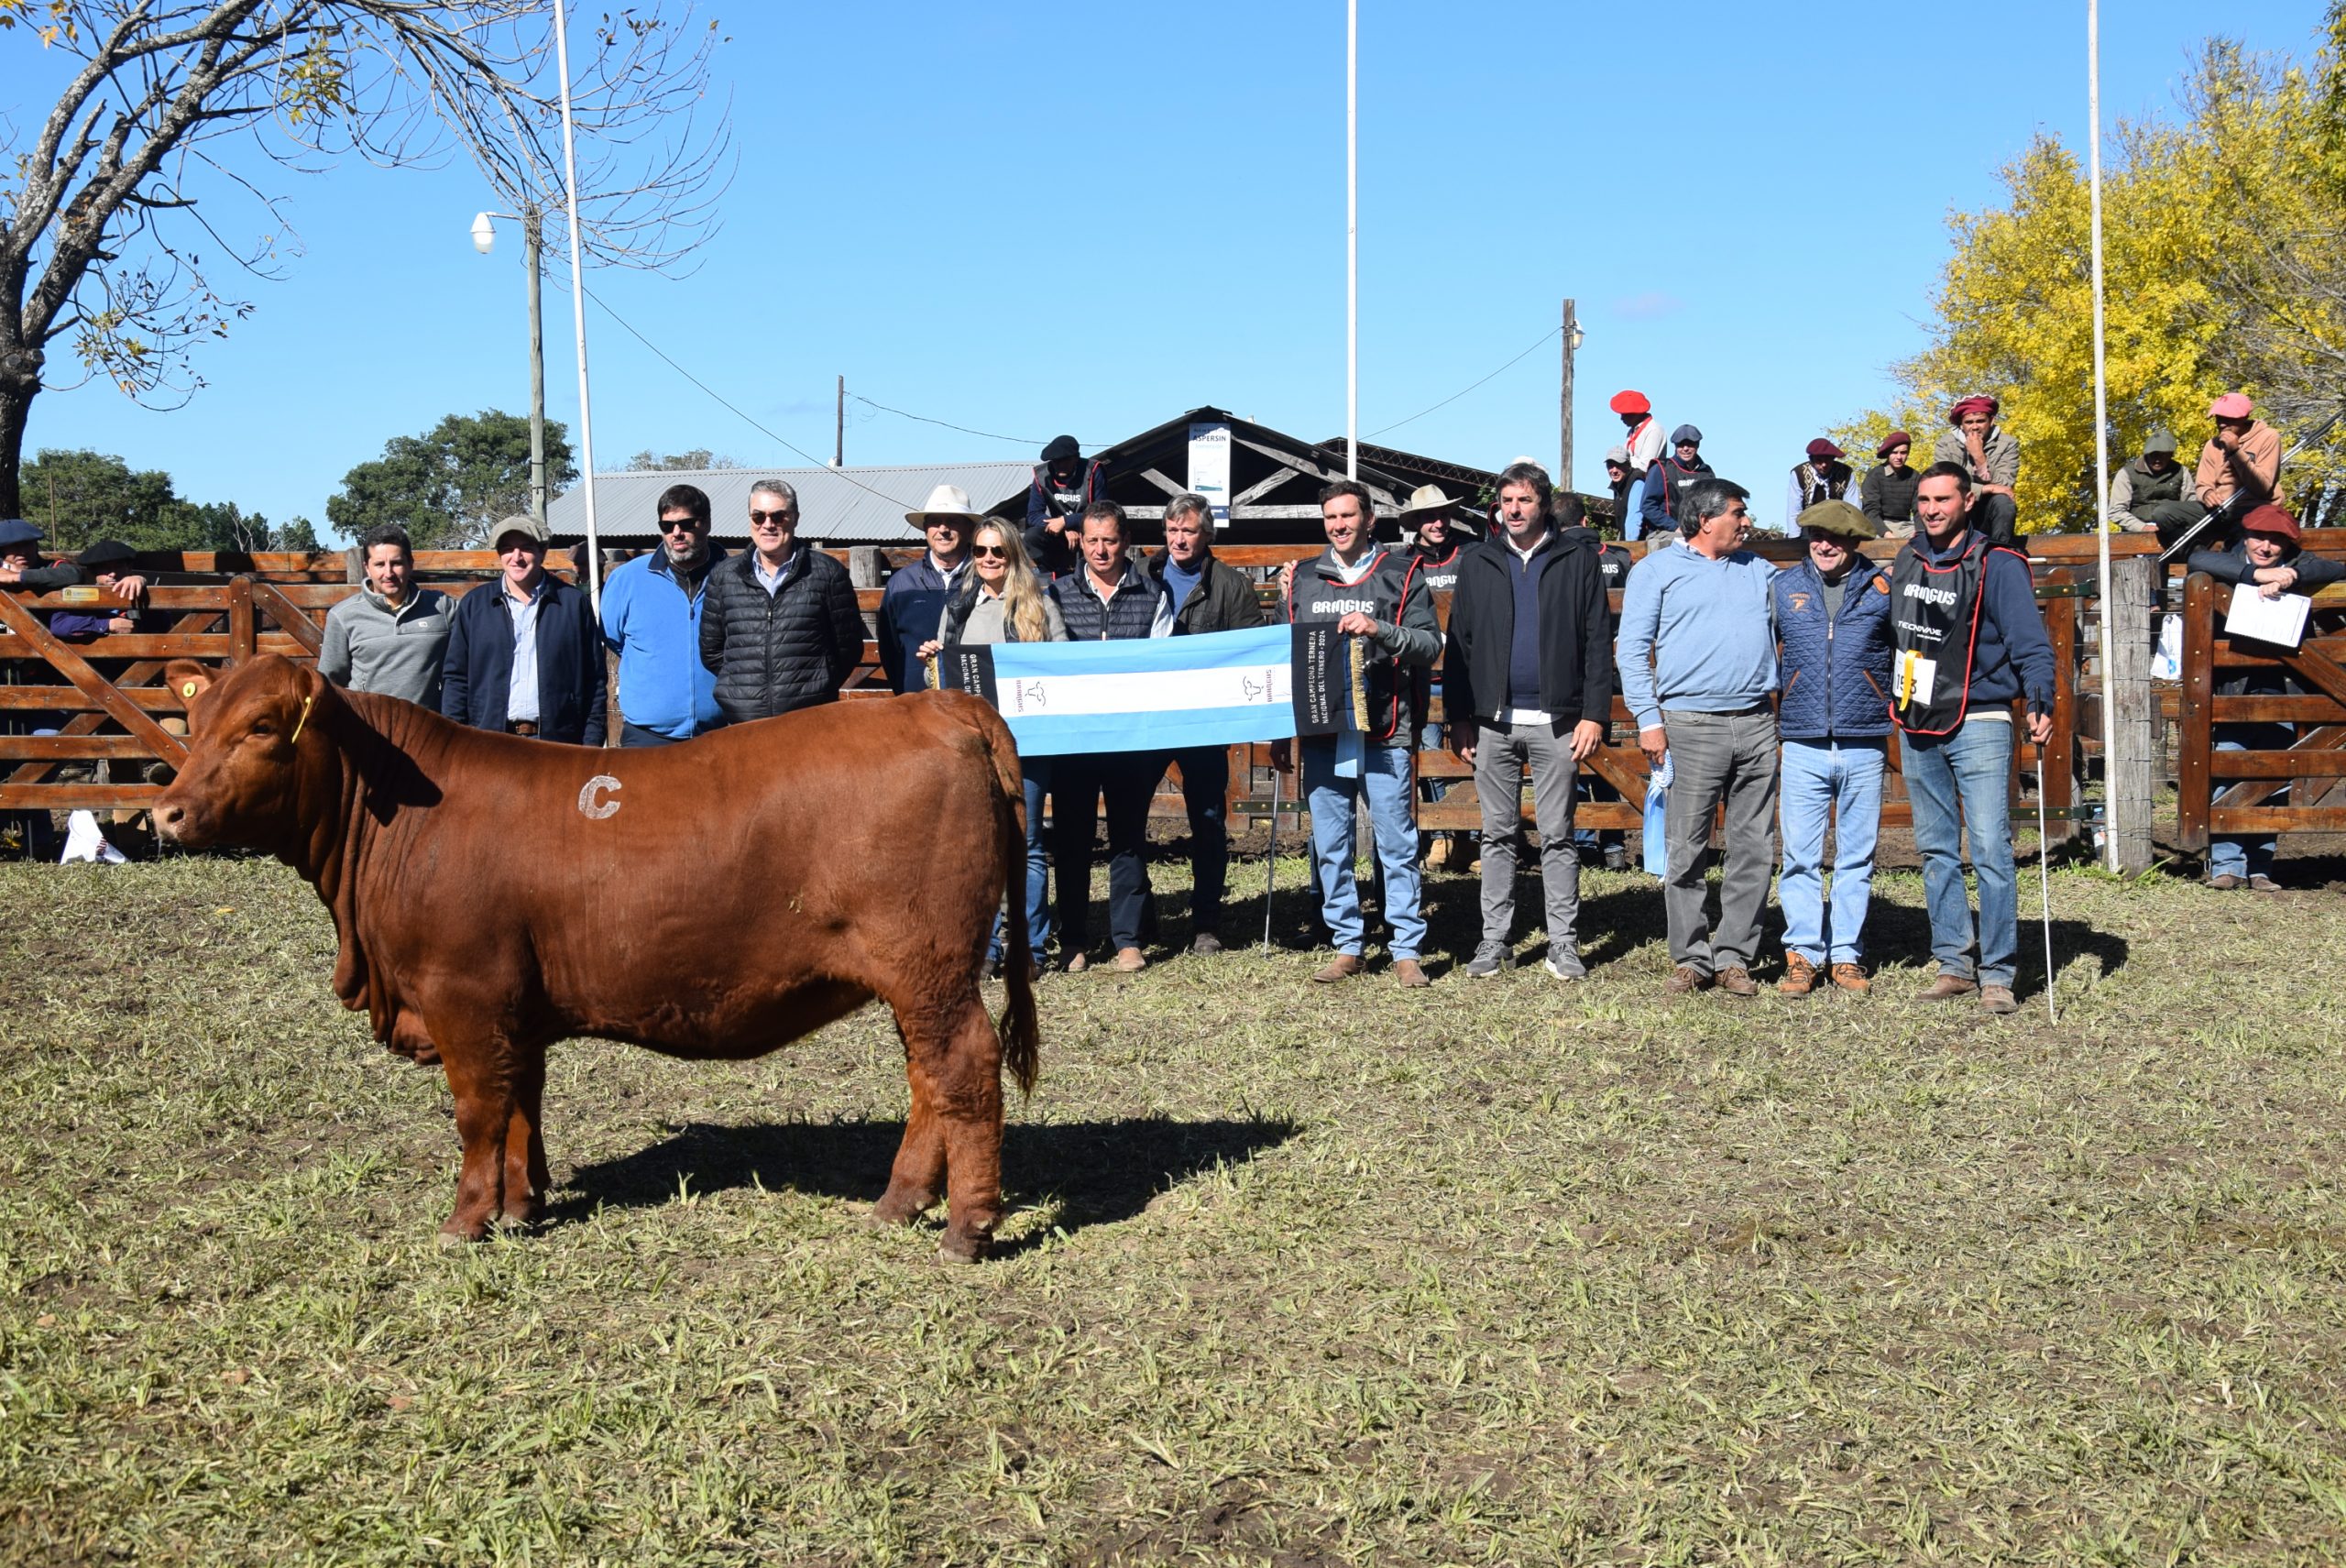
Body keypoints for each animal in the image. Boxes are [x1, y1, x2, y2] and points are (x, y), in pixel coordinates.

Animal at [156, 652, 1036, 1257]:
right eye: (194, 727)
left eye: (261, 728)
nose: (166, 813)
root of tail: (940, 702)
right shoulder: (513, 1004)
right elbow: (521, 1101)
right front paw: (522, 1203)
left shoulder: (462, 993)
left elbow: (477, 1109)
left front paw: (466, 1219)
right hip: (914, 978)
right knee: (929, 1079)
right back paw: (899, 1202)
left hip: (929, 968)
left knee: (963, 1067)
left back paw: (967, 1226)